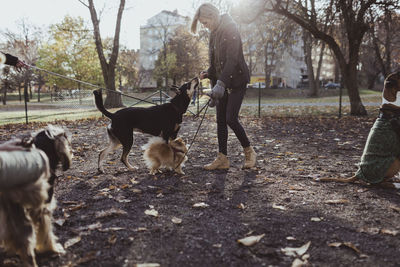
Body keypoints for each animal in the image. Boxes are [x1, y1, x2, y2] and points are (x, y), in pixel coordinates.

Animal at [0, 126, 72, 267]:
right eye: (66, 138)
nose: (71, 152)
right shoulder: (43, 207)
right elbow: (46, 231)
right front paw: (51, 248)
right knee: (25, 245)